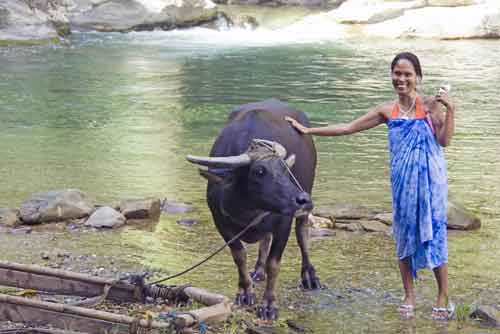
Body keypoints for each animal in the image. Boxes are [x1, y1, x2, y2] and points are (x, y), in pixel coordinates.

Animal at [188, 98, 320, 320]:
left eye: (285, 169)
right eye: (259, 171)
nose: (303, 199)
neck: (249, 208)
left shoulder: (283, 222)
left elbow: (274, 264)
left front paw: (269, 304)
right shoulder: (221, 222)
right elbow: (239, 256)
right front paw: (244, 291)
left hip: (305, 196)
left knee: (302, 234)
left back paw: (309, 276)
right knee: (265, 239)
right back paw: (258, 270)